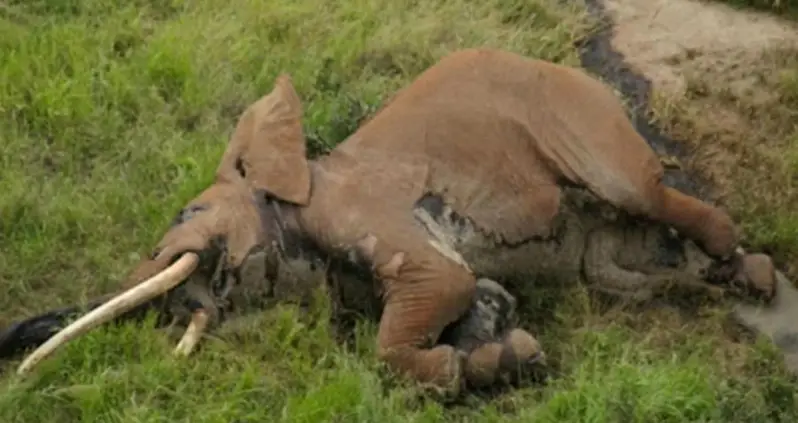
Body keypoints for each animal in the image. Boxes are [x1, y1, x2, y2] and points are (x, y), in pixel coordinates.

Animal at [3, 48, 794, 398]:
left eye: (184, 213)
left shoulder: (364, 209)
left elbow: (437, 288)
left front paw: (473, 367)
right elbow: (477, 297)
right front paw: (508, 354)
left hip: (579, 118)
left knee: (641, 189)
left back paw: (750, 274)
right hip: (601, 249)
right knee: (618, 268)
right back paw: (724, 278)